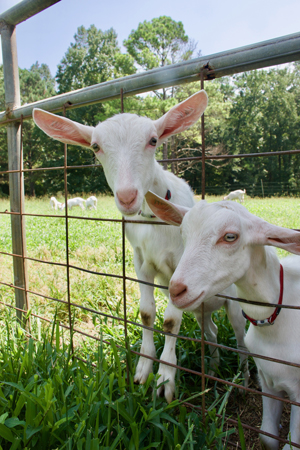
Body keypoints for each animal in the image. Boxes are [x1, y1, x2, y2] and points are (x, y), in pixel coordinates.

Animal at [32, 89, 248, 402]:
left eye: (153, 140)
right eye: (95, 146)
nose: (127, 196)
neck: (152, 218)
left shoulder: (179, 268)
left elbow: (170, 321)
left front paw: (166, 380)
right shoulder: (140, 262)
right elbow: (146, 313)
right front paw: (144, 369)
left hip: (235, 303)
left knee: (240, 337)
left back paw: (242, 377)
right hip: (201, 308)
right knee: (212, 331)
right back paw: (214, 367)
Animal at [146, 191, 300, 450]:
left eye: (230, 236)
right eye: (183, 234)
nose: (176, 290)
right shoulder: (269, 381)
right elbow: (267, 438)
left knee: (238, 342)